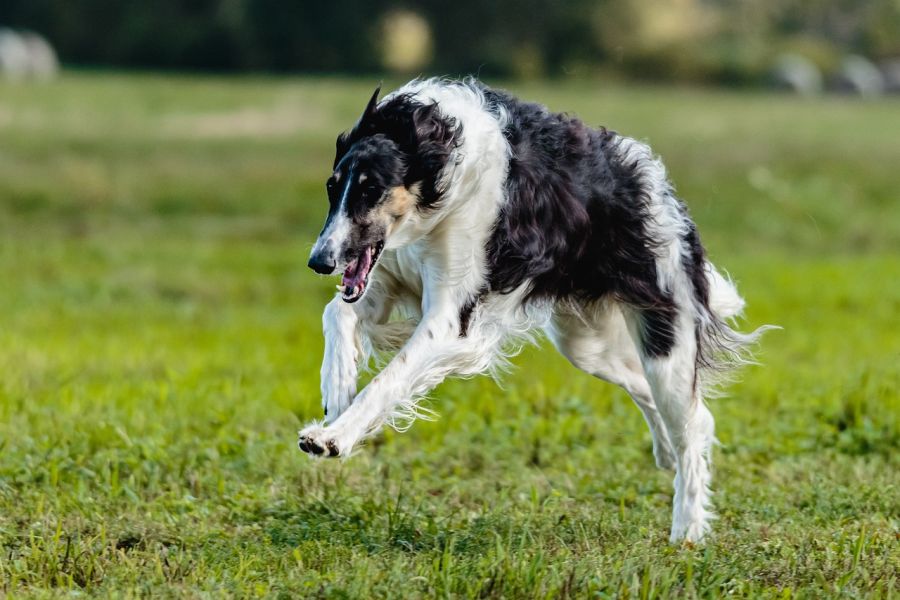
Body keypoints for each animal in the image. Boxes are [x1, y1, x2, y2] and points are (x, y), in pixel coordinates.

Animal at [298, 77, 768, 540]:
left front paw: (335, 436)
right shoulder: (384, 279)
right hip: (586, 346)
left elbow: (387, 380)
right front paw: (337, 396)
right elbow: (336, 313)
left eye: (371, 189)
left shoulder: (451, 320)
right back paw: (666, 454)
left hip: (664, 339)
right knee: (662, 400)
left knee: (693, 425)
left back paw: (686, 530)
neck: (432, 152)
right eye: (331, 187)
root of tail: (654, 184)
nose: (319, 261)